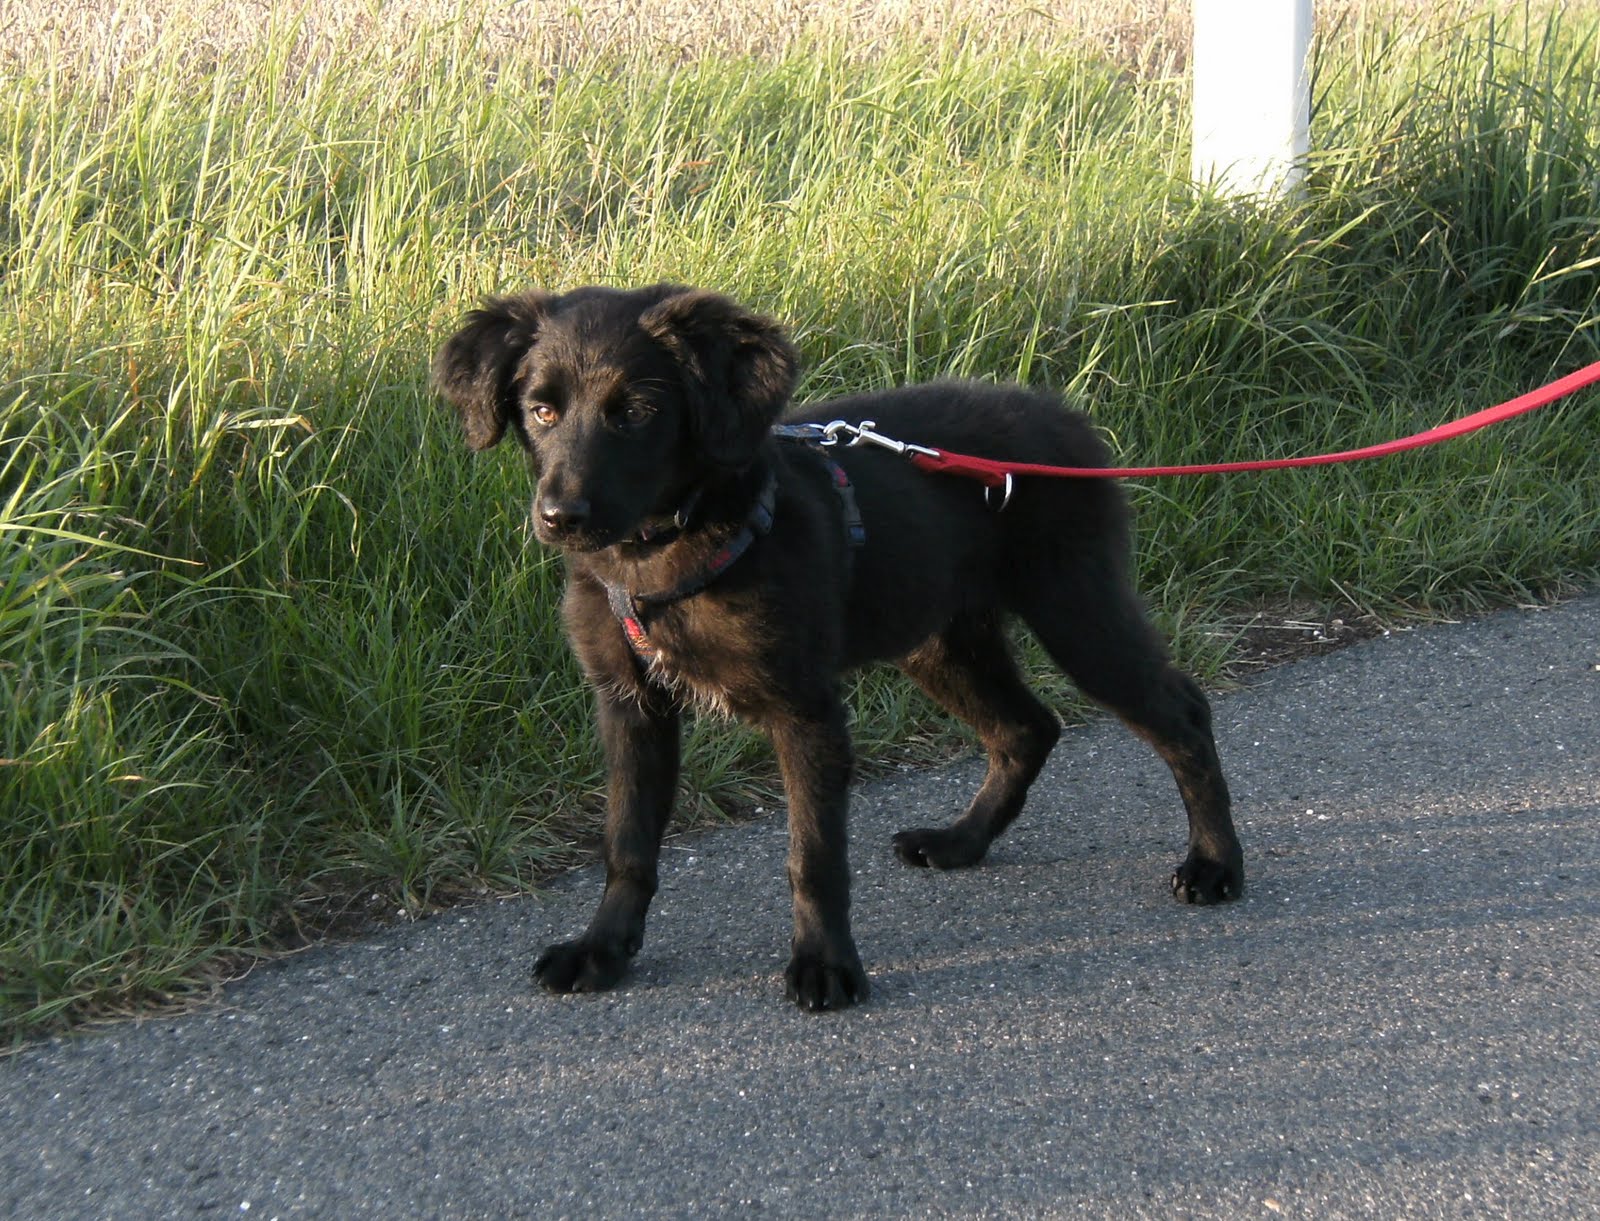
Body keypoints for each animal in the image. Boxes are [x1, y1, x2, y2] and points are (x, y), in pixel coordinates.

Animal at [432, 286, 1241, 1011]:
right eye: (541, 410)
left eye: (635, 412)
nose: (559, 517)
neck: (664, 551)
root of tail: (1070, 420)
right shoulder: (631, 705)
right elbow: (627, 843)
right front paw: (601, 950)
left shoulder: (806, 710)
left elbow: (813, 855)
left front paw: (824, 965)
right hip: (940, 641)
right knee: (1027, 727)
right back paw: (961, 842)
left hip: (1077, 610)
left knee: (1180, 711)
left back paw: (1215, 865)